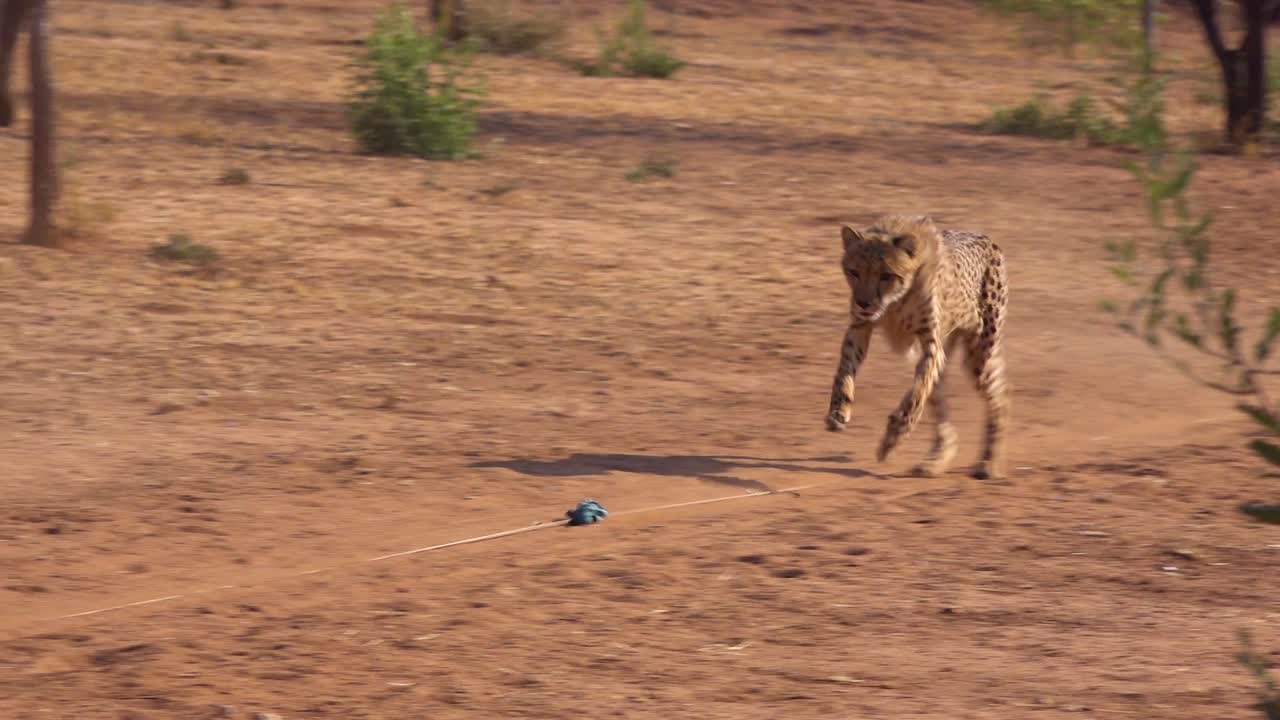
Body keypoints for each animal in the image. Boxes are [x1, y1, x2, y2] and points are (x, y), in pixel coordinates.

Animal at [824, 214, 1010, 480]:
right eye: (854, 271)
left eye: (886, 275)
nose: (863, 302)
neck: (895, 303)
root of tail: (985, 237)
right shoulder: (860, 326)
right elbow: (844, 370)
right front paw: (839, 410)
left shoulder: (931, 344)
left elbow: (917, 394)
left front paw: (896, 432)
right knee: (942, 402)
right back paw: (935, 460)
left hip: (979, 355)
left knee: (1001, 397)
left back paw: (988, 463)